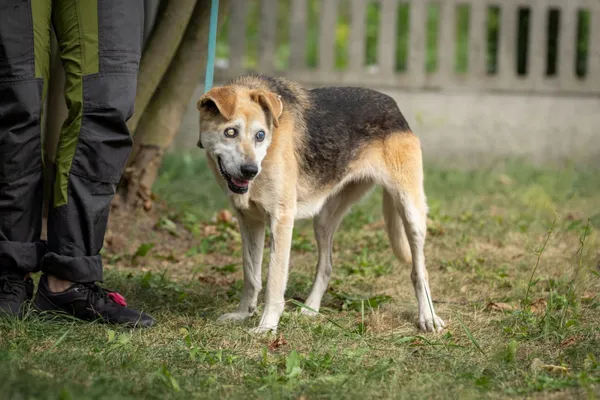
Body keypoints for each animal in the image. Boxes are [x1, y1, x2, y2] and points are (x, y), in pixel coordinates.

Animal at [197, 75, 446, 334]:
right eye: (230, 132)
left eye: (260, 135)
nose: (250, 171)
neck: (268, 150)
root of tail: (393, 105)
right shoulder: (249, 222)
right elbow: (251, 275)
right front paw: (243, 314)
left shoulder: (281, 221)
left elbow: (274, 281)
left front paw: (267, 326)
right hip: (324, 220)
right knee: (326, 267)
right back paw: (310, 308)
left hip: (411, 214)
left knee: (420, 271)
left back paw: (428, 317)